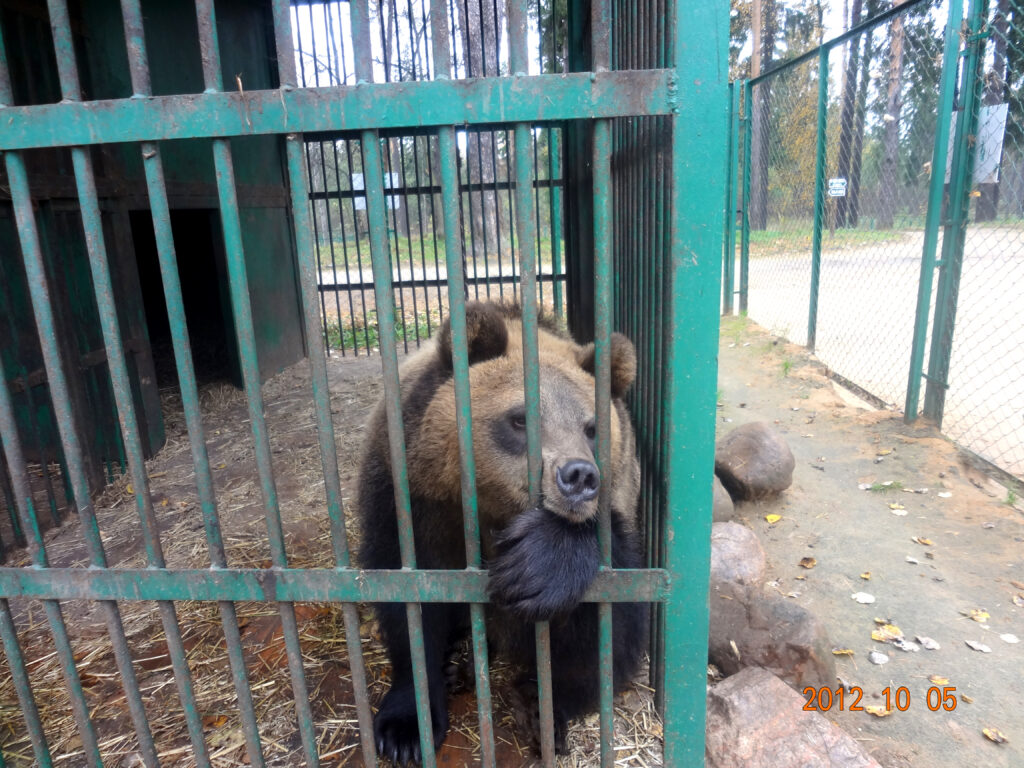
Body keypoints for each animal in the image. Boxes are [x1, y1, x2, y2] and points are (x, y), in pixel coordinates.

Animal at [358, 301, 647, 765]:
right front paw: (406, 727)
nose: (579, 476)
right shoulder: (412, 498)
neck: (493, 509)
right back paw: (457, 666)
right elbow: (409, 599)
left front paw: (540, 564)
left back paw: (536, 706)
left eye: (591, 428)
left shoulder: (618, 505)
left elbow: (610, 621)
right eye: (520, 419)